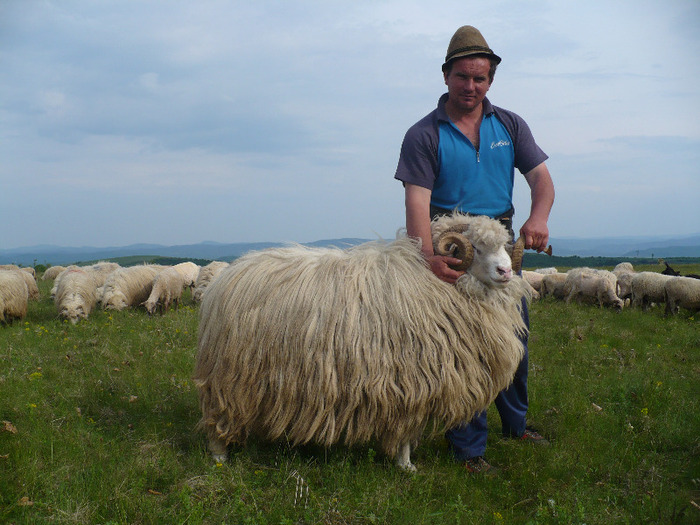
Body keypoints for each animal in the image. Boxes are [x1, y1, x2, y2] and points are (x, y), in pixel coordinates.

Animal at [194, 213, 528, 470]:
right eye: (476, 248)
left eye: (503, 246)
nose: (505, 271)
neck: (436, 281)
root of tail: (223, 280)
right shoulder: (413, 378)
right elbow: (406, 429)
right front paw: (406, 465)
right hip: (231, 374)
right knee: (216, 414)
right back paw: (219, 457)